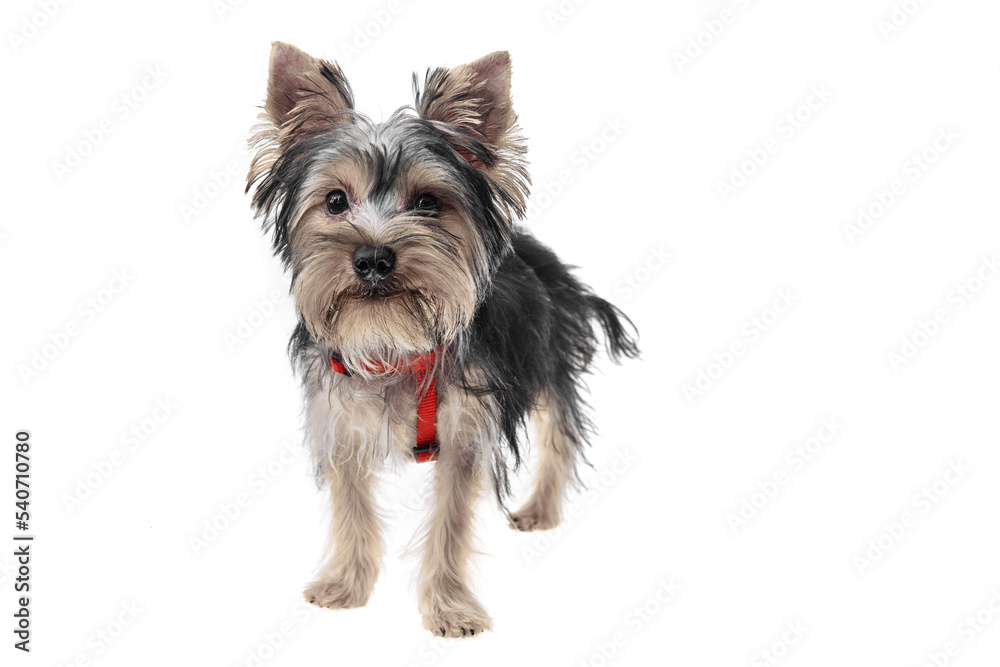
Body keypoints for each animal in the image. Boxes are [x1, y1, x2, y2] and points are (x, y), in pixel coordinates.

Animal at [246, 40, 636, 636]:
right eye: (335, 201)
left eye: (428, 202)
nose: (373, 257)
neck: (393, 342)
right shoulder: (339, 415)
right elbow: (351, 502)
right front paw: (346, 585)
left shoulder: (466, 424)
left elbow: (451, 517)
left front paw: (450, 607)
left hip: (544, 355)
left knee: (560, 429)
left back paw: (541, 509)